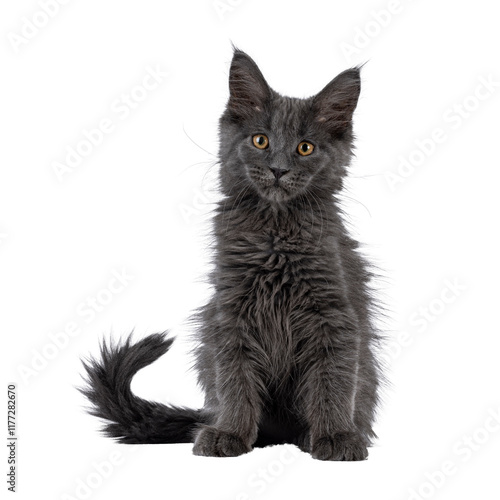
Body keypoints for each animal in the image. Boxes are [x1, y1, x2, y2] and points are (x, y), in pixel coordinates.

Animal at [81, 47, 382, 460]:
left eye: (305, 147)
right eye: (260, 140)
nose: (278, 169)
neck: (274, 236)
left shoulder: (334, 316)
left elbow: (331, 383)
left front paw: (335, 437)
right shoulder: (231, 314)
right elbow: (236, 382)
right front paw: (230, 433)